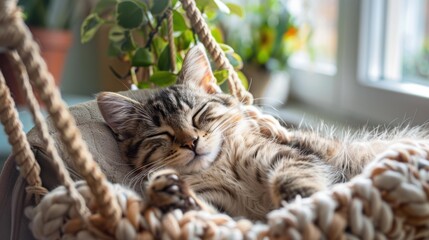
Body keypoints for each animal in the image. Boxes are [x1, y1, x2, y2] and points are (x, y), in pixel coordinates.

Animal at [97, 46, 428, 220]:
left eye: (197, 114)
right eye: (161, 135)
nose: (191, 142)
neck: (220, 167)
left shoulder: (291, 157)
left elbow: (292, 181)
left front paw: (301, 206)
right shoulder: (228, 211)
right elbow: (205, 211)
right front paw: (168, 192)